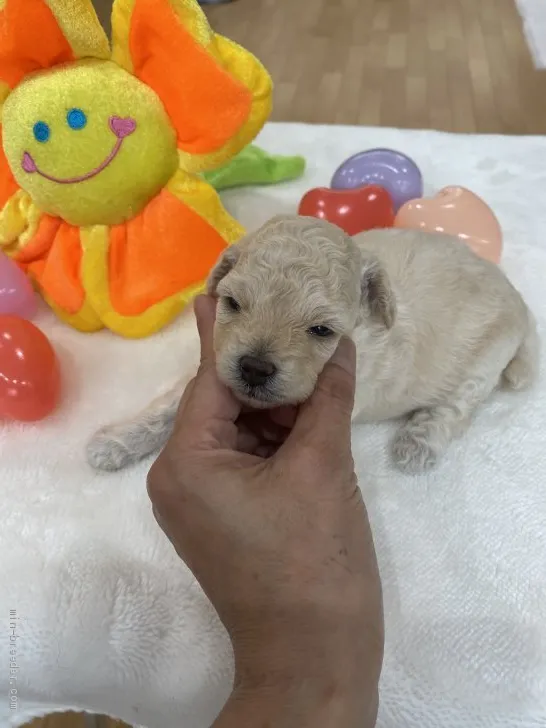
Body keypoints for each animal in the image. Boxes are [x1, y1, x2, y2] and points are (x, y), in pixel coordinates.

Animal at [86, 213, 536, 474]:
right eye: (232, 303)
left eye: (321, 330)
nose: (254, 369)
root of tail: (520, 300)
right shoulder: (216, 358)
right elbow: (171, 404)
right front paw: (115, 442)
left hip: (487, 359)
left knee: (457, 406)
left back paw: (417, 445)